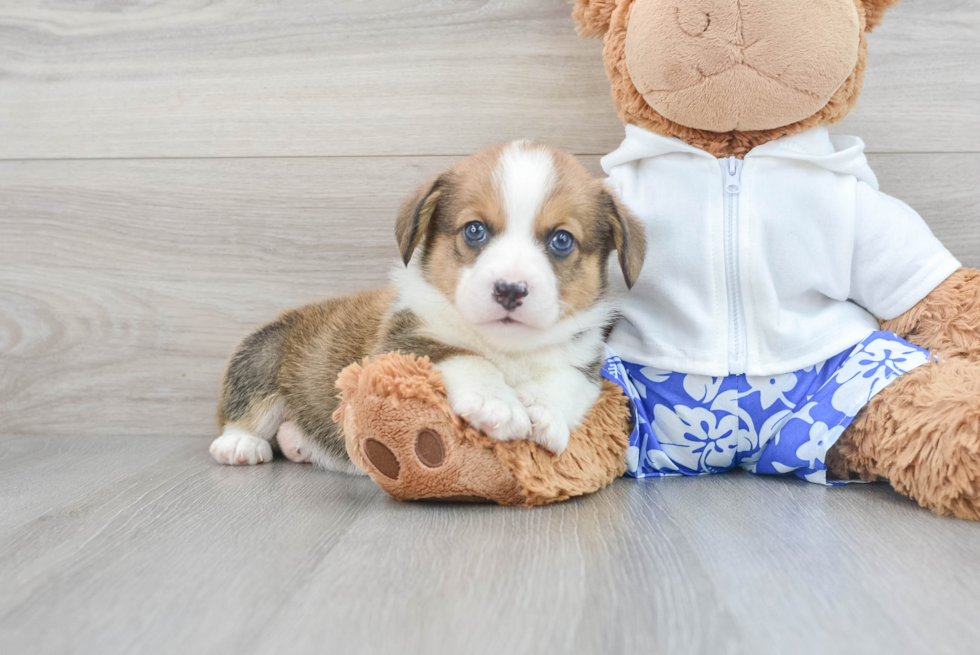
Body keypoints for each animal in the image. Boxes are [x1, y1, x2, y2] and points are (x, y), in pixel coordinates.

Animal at [209, 141, 644, 474]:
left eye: (561, 240)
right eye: (474, 230)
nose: (509, 290)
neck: (505, 346)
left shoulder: (583, 364)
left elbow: (562, 382)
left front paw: (542, 412)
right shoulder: (403, 343)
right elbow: (466, 356)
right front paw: (498, 403)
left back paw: (297, 442)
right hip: (261, 360)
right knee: (243, 412)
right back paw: (241, 446)